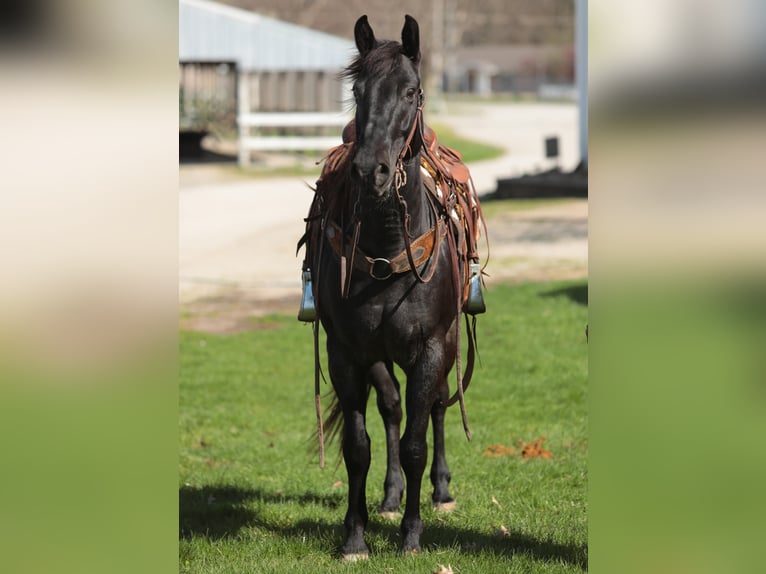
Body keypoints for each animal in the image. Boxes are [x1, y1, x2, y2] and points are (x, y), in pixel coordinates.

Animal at [302, 14, 486, 564]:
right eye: (357, 90)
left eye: (410, 90)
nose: (372, 170)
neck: (386, 252)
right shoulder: (348, 353)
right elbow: (358, 446)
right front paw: (355, 537)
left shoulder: (430, 348)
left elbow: (415, 444)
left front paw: (411, 536)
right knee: (391, 409)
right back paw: (388, 496)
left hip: (448, 345)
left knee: (438, 406)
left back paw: (441, 491)